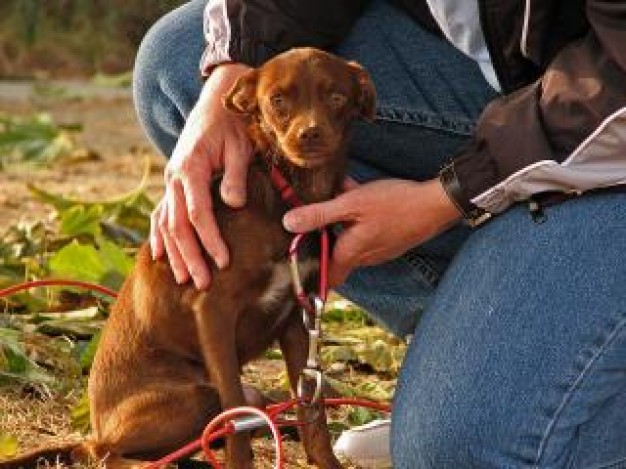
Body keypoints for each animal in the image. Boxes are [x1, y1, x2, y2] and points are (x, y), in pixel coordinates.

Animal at [1, 47, 376, 468]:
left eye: (337, 97)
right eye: (278, 100)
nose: (309, 133)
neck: (290, 196)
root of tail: (96, 427)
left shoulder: (299, 319)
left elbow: (313, 410)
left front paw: (326, 461)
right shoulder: (213, 309)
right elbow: (235, 417)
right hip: (195, 397)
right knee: (109, 453)